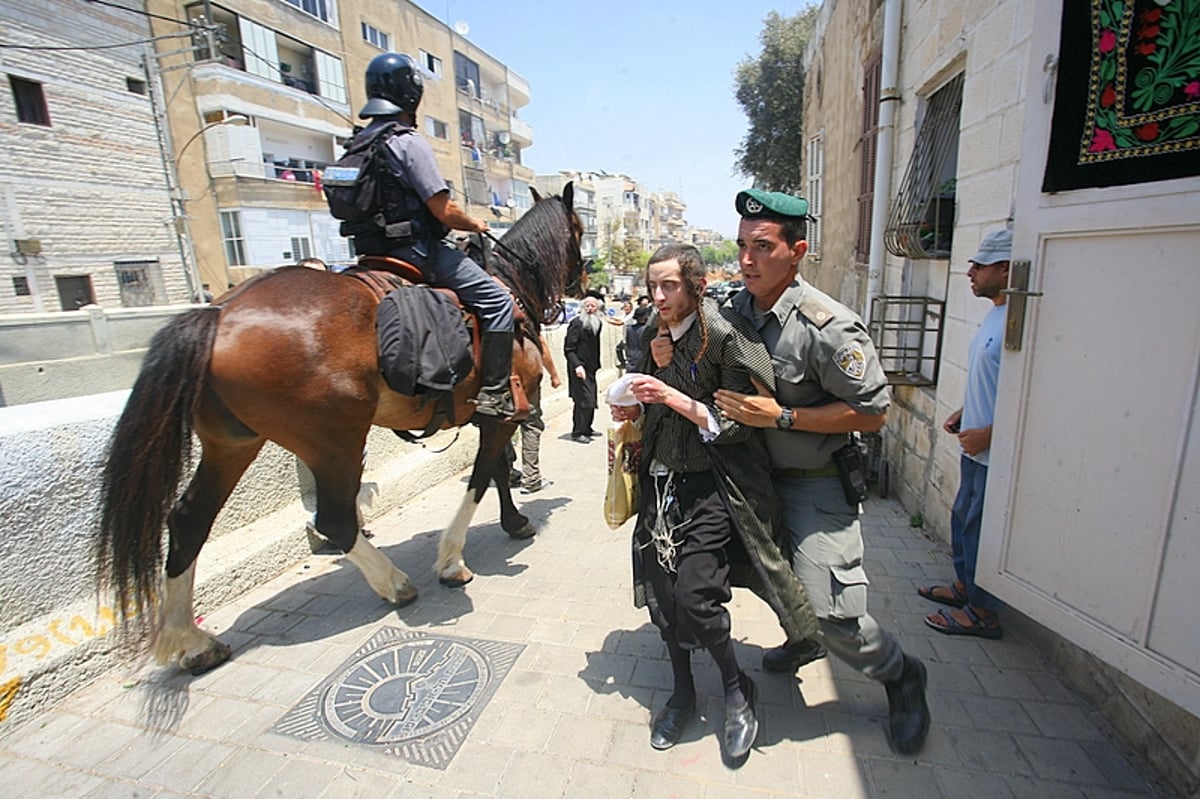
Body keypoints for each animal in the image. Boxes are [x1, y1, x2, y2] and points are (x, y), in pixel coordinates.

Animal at [96, 182, 583, 671]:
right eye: (578, 230)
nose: (581, 281)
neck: (509, 284)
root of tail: (217, 314)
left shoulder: (492, 415)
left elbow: (499, 469)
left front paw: (513, 521)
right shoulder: (505, 411)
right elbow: (482, 477)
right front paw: (452, 559)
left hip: (231, 444)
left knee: (188, 520)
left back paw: (191, 640)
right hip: (334, 439)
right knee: (333, 517)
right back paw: (393, 582)